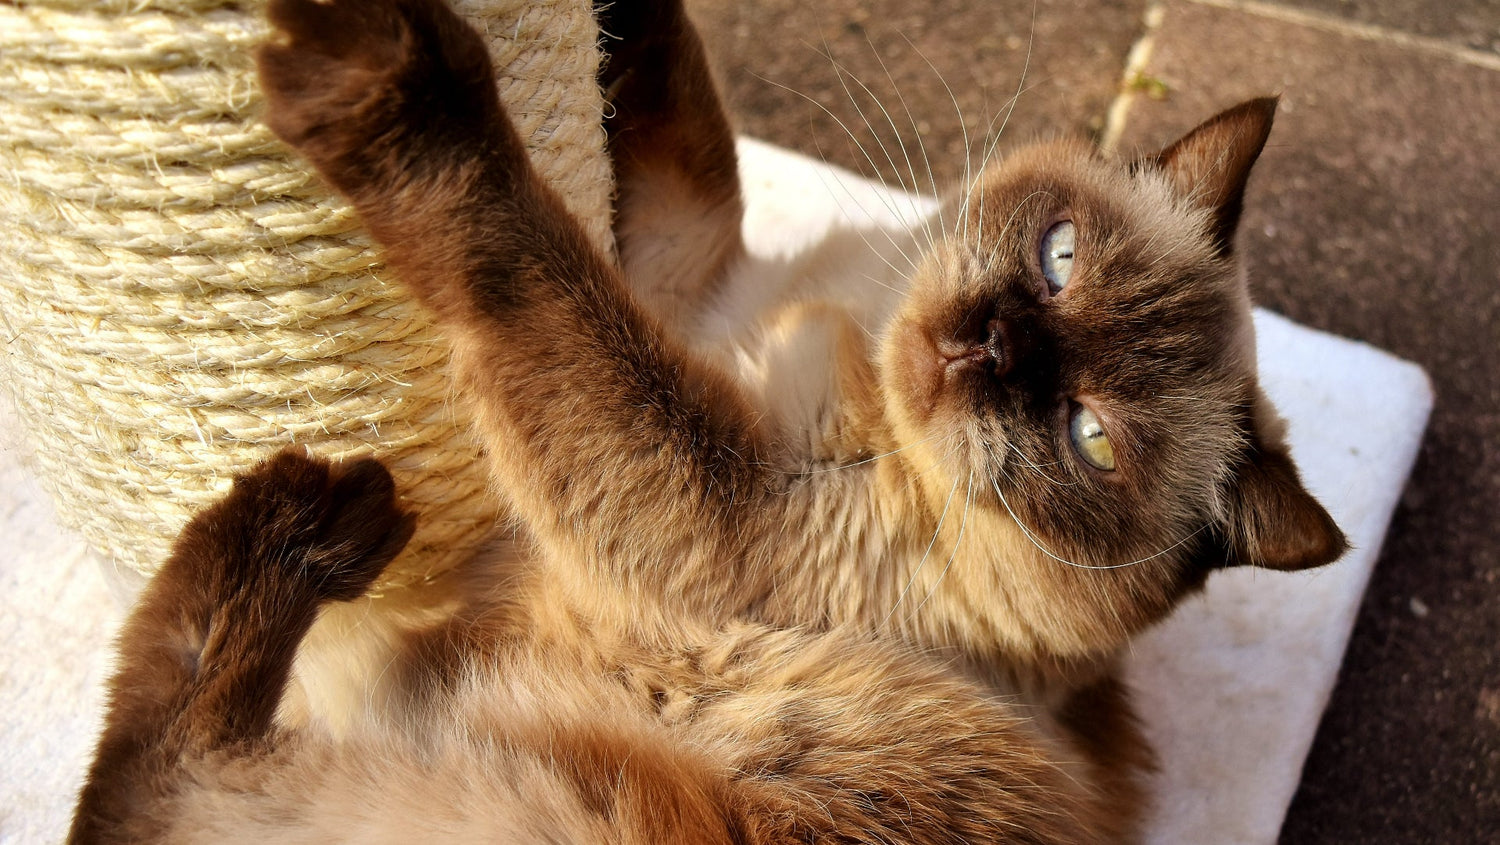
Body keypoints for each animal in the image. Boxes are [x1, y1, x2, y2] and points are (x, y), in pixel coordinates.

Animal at [67, 0, 1350, 840]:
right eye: (1060, 257)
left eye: (1089, 437)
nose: (985, 346)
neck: (848, 334)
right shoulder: (684, 277)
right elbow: (674, 123)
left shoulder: (713, 491)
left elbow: (530, 259)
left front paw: (397, 81)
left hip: (515, 810)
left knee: (148, 773)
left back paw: (320, 519)